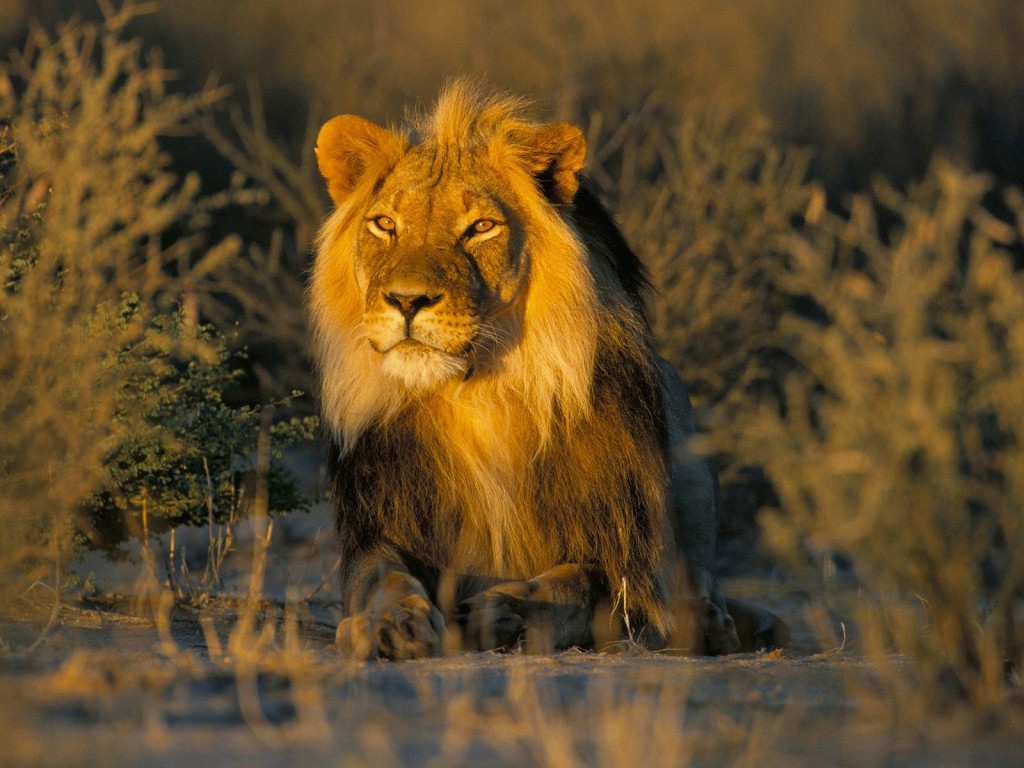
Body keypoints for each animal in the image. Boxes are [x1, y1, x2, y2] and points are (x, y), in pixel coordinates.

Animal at [309, 82, 782, 663]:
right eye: (384, 224)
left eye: (480, 228)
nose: (406, 300)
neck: (478, 394)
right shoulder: (381, 526)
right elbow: (381, 578)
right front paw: (392, 622)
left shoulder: (632, 563)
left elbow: (581, 583)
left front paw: (506, 611)